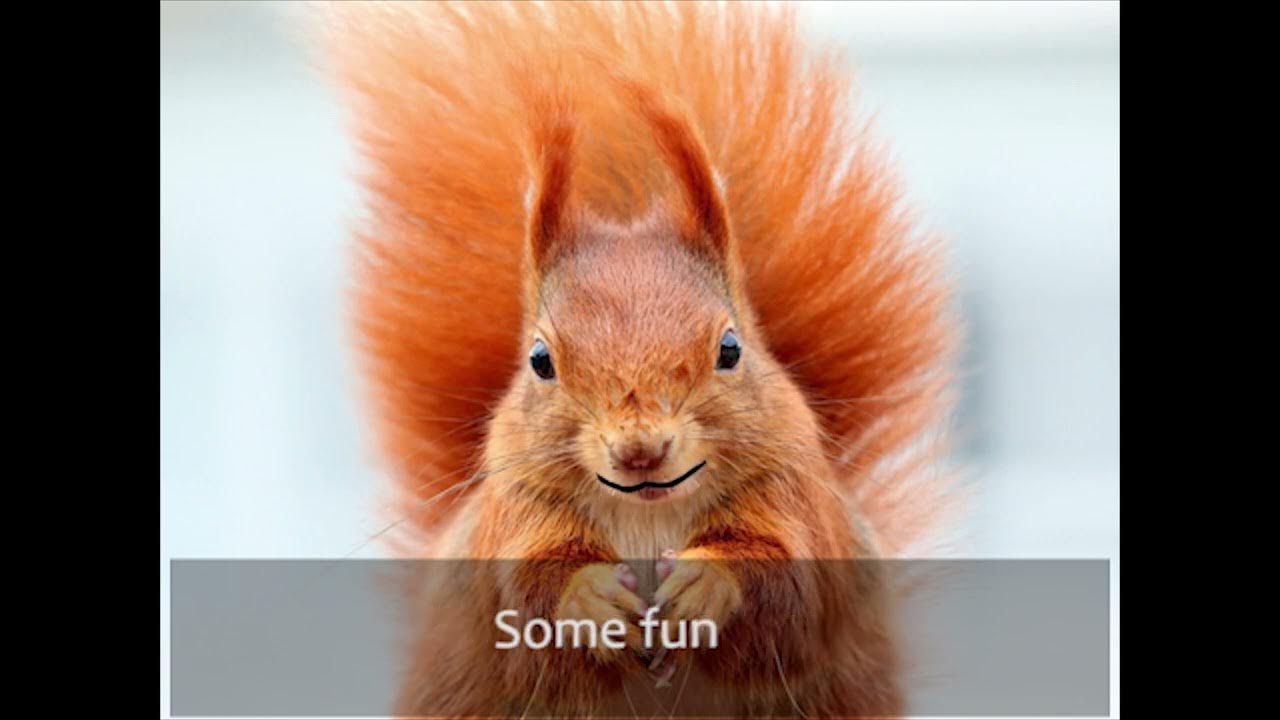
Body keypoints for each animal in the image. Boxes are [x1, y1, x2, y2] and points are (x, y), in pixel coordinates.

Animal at [322, 2, 958, 717]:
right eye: (540, 360)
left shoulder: (797, 501)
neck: (650, 513)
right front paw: (591, 599)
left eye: (730, 349)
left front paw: (705, 586)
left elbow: (786, 590)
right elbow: (529, 596)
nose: (640, 450)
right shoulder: (516, 514)